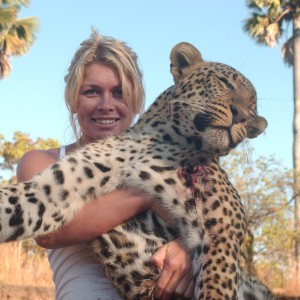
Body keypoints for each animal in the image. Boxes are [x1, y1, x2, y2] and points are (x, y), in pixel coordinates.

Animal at [0, 42, 276, 300]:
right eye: (224, 82)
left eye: (253, 106)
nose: (243, 117)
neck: (162, 139)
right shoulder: (56, 189)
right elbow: (15, 202)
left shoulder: (224, 229)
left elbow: (217, 287)